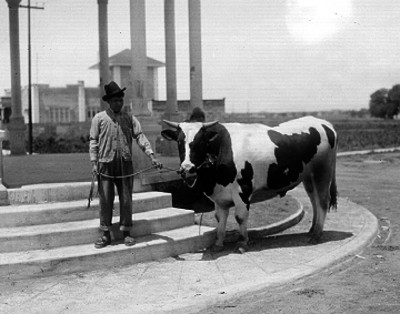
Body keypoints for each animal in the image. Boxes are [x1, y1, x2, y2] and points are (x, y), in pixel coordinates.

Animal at [161, 113, 336, 253]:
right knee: (314, 200)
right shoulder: (220, 196)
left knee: (322, 201)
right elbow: (220, 219)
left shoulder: (242, 190)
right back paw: (312, 230)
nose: (187, 169)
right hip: (308, 176)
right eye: (179, 142)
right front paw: (218, 244)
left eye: (201, 142)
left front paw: (242, 243)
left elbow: (240, 217)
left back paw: (317, 235)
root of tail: (324, 123)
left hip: (323, 171)